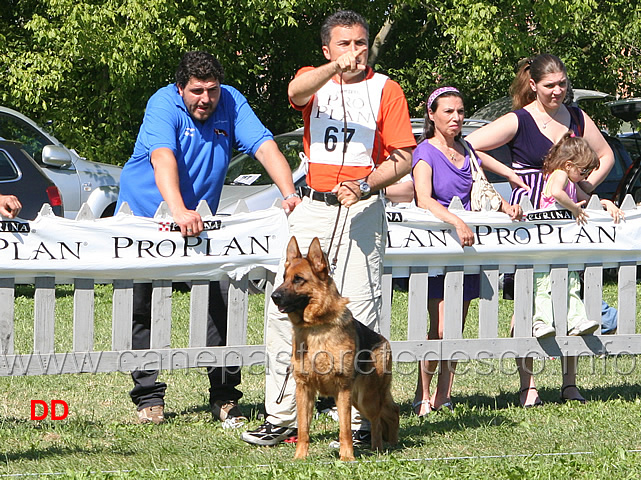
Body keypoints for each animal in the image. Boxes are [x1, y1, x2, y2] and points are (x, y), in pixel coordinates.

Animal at [272, 236, 400, 462]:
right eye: (284, 277)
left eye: (298, 279)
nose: (274, 296)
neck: (316, 327)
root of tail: (384, 340)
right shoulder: (304, 389)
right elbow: (303, 429)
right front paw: (300, 457)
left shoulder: (343, 390)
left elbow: (345, 429)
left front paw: (347, 457)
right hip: (358, 399)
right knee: (386, 413)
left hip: (365, 398)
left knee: (383, 416)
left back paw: (381, 447)